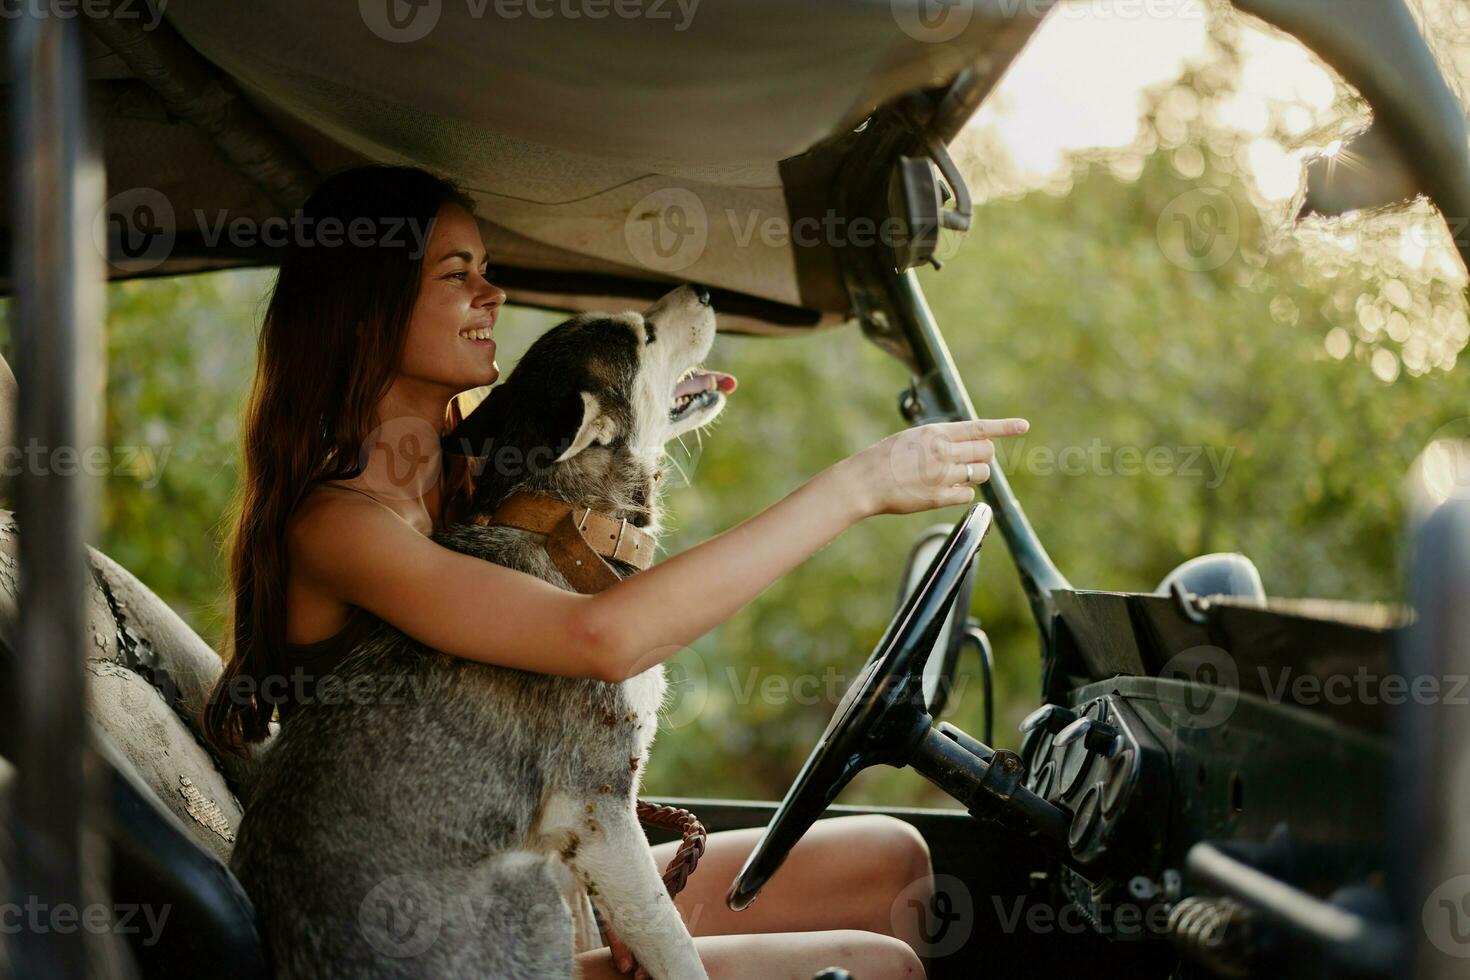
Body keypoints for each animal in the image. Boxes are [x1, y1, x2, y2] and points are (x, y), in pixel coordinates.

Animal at [232, 285, 732, 980]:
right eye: (645, 337)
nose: (704, 292)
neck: (565, 525)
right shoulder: (598, 809)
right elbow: (674, 939)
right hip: (531, 890)